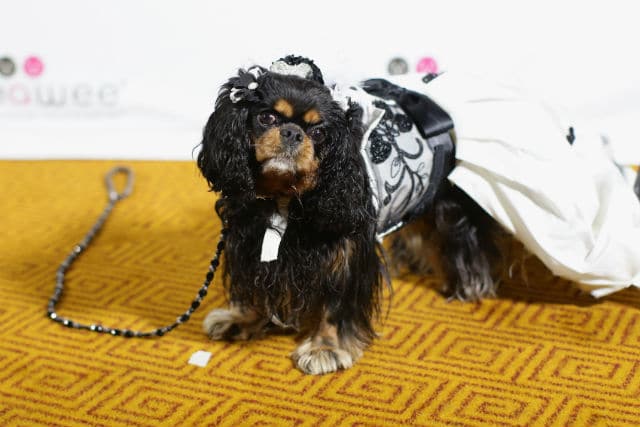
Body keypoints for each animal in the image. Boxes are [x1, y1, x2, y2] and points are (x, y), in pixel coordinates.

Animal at [198, 56, 502, 374]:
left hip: (450, 203)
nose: (292, 133)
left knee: (461, 240)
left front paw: (325, 348)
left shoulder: (345, 251)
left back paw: (467, 285)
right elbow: (254, 287)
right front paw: (240, 319)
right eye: (267, 118)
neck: (282, 198)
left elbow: (335, 304)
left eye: (319, 133)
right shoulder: (249, 239)